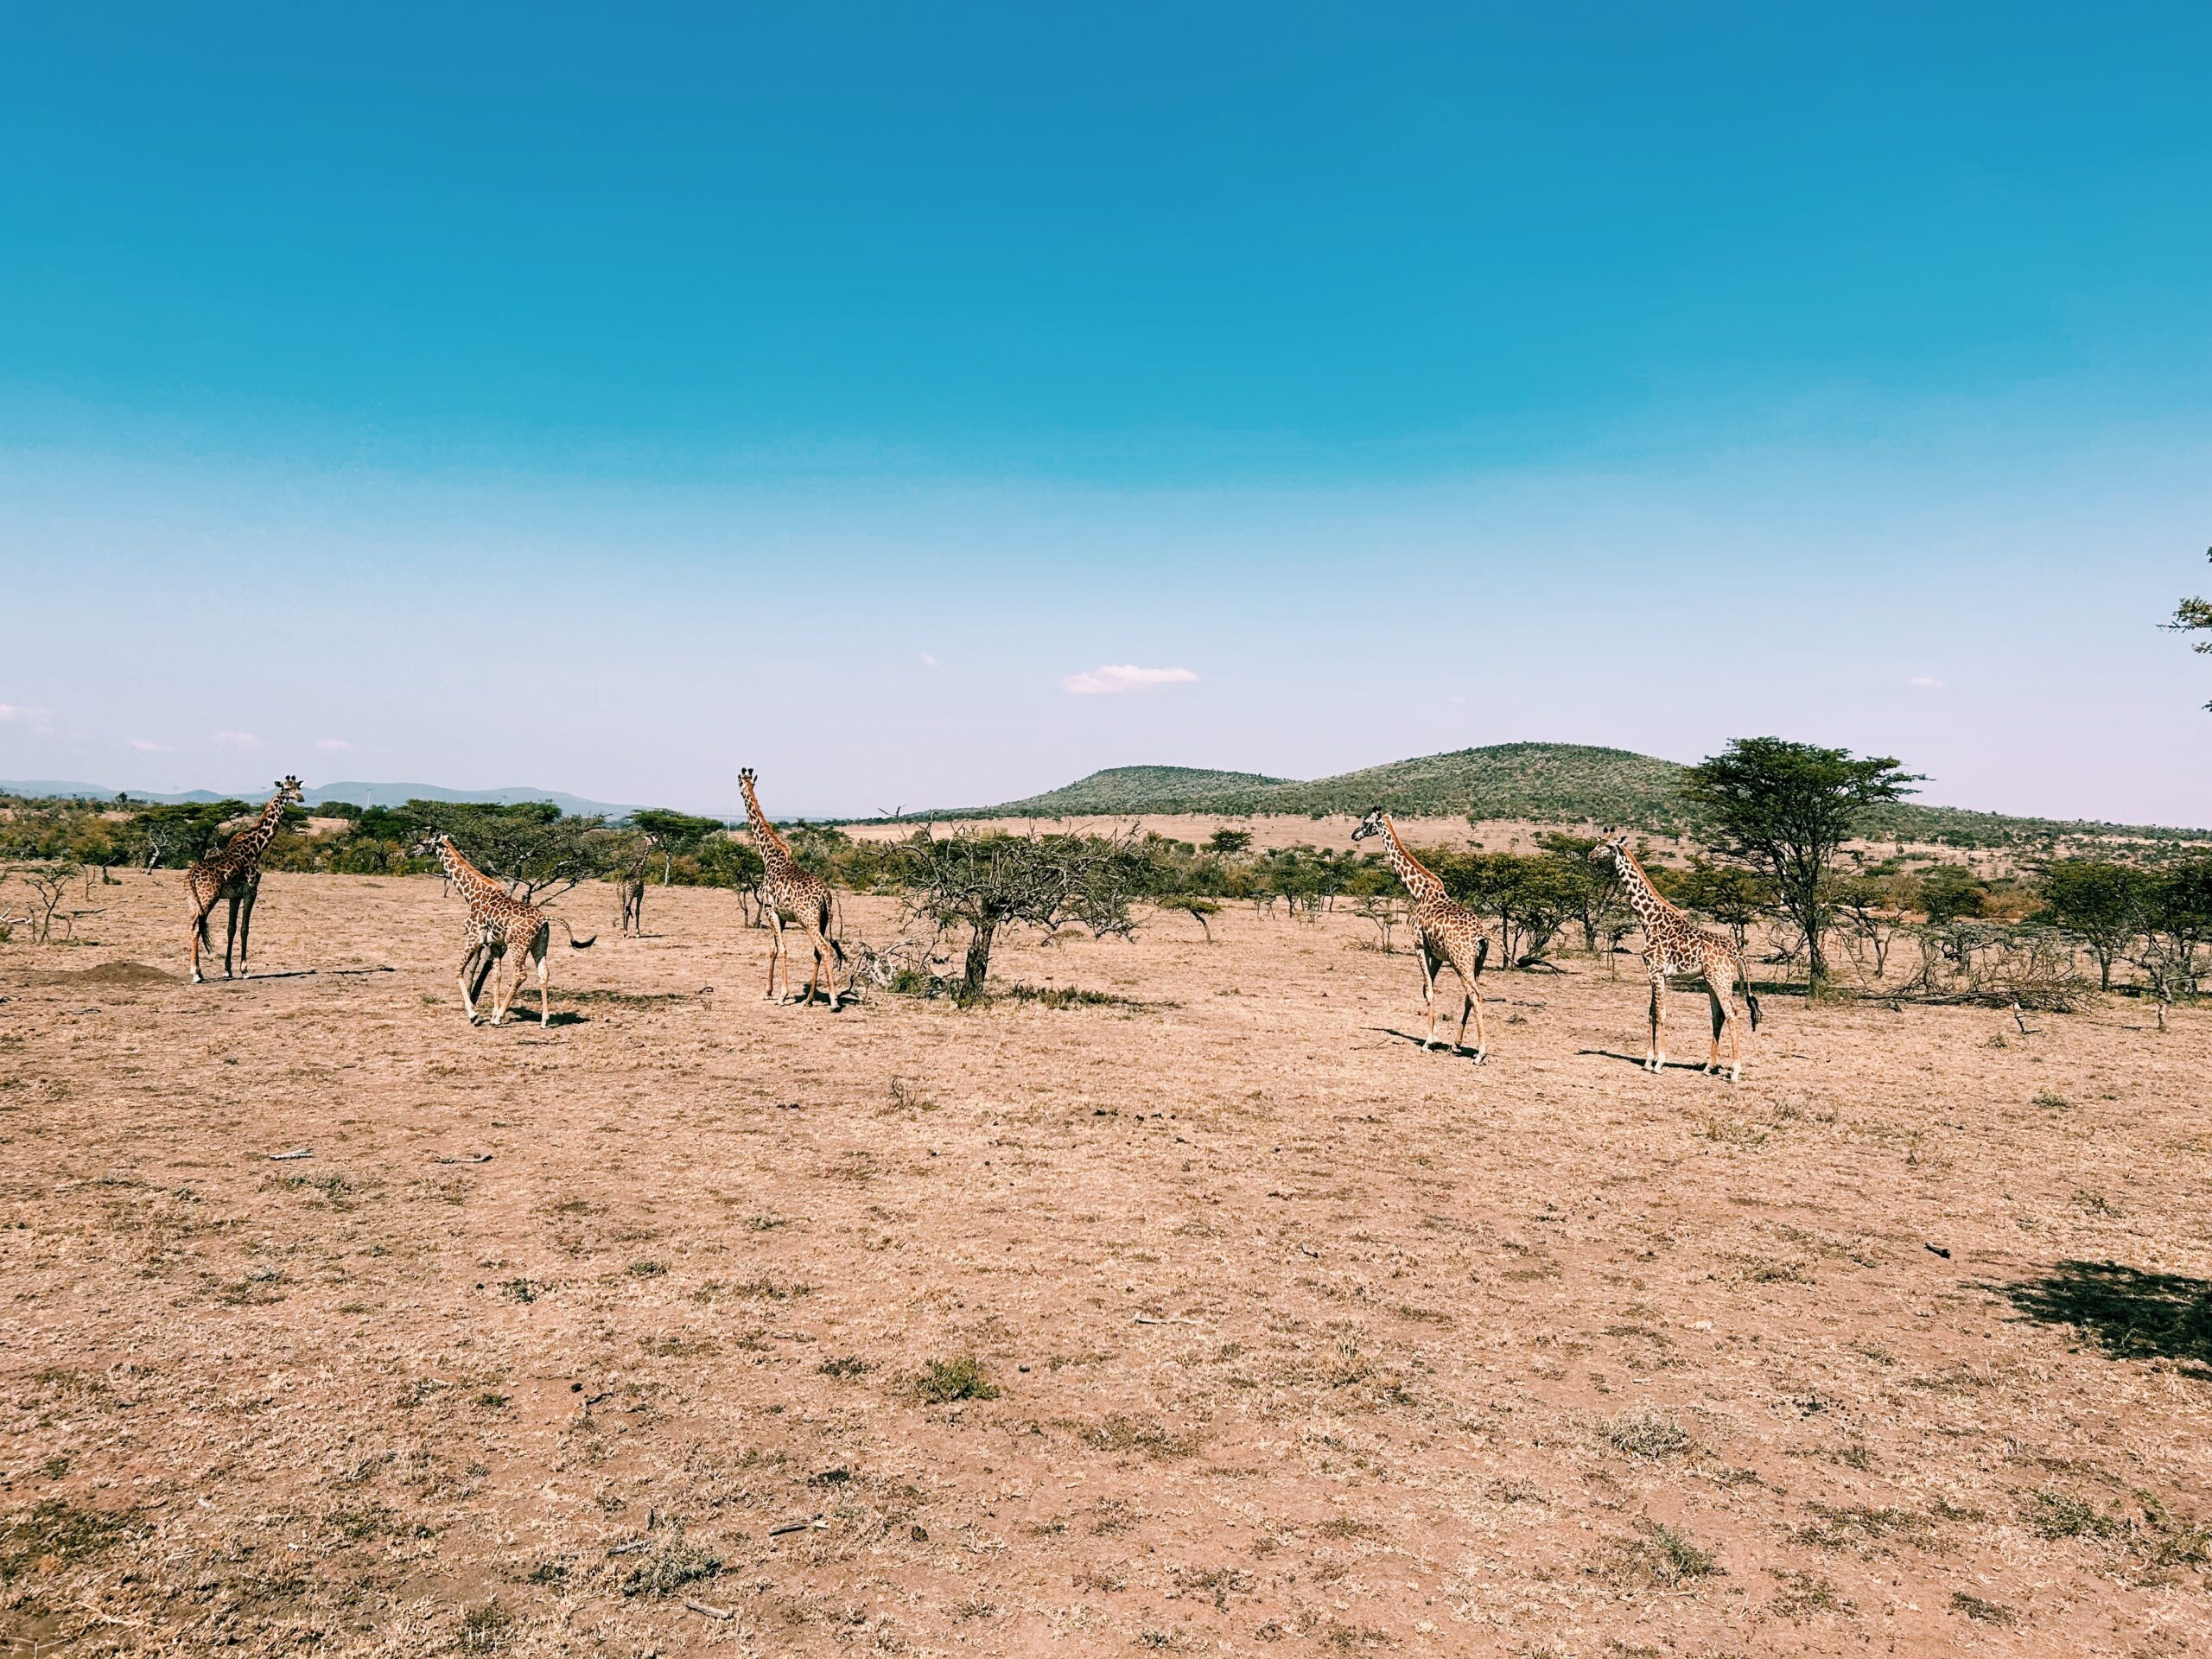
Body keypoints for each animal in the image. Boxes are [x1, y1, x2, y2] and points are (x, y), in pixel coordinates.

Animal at [183, 779, 302, 986]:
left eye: (299, 787)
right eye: (287, 788)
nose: (301, 797)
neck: (257, 847)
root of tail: (191, 877)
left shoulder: (234, 896)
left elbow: (231, 928)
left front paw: (228, 970)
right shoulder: (251, 891)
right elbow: (245, 928)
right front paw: (245, 970)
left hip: (193, 901)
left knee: (192, 926)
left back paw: (200, 972)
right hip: (208, 899)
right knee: (196, 928)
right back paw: (196, 974)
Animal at [416, 831, 597, 1026]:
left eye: (423, 842)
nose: (411, 852)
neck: (472, 895)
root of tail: (544, 919)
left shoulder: (474, 936)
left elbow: (458, 969)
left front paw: (474, 1014)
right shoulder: (494, 943)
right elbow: (496, 975)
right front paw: (492, 1013)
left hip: (517, 946)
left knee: (520, 975)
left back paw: (500, 1018)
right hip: (540, 945)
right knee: (543, 973)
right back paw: (544, 1020)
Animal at [743, 769, 844, 1013]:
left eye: (739, 784)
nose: (743, 787)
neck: (769, 856)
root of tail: (826, 896)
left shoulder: (769, 908)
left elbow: (782, 949)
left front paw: (782, 995)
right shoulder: (780, 915)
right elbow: (773, 948)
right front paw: (768, 991)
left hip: (808, 920)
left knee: (824, 948)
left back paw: (834, 1000)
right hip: (822, 920)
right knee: (817, 951)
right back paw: (809, 1000)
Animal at [1336, 814, 1495, 1057]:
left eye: (1366, 822)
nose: (1354, 835)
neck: (1419, 892)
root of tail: (1480, 937)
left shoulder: (1419, 945)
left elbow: (1428, 990)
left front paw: (1429, 1042)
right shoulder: (1437, 954)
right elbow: (1427, 988)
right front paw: (1437, 1039)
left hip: (1461, 962)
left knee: (1476, 995)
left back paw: (1481, 1053)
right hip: (1478, 963)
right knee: (1470, 997)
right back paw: (1457, 1044)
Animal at [1592, 836, 1760, 1084]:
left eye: (1608, 846)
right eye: (1598, 842)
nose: (1590, 855)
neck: (1649, 920)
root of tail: (1736, 952)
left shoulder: (1656, 972)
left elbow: (1661, 1014)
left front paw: (1659, 1063)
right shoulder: (1655, 974)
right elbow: (1651, 1013)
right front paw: (1648, 1061)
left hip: (1720, 979)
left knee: (1732, 1014)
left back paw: (1735, 1072)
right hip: (1712, 980)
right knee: (1718, 1015)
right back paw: (1709, 1067)